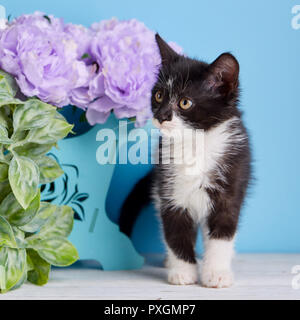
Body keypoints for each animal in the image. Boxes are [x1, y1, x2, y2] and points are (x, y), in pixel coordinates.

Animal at [150, 34, 251, 288]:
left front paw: (216, 273)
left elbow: (222, 233)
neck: (194, 143)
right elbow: (175, 232)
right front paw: (183, 272)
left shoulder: (231, 187)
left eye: (185, 102)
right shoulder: (168, 191)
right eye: (158, 95)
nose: (161, 116)